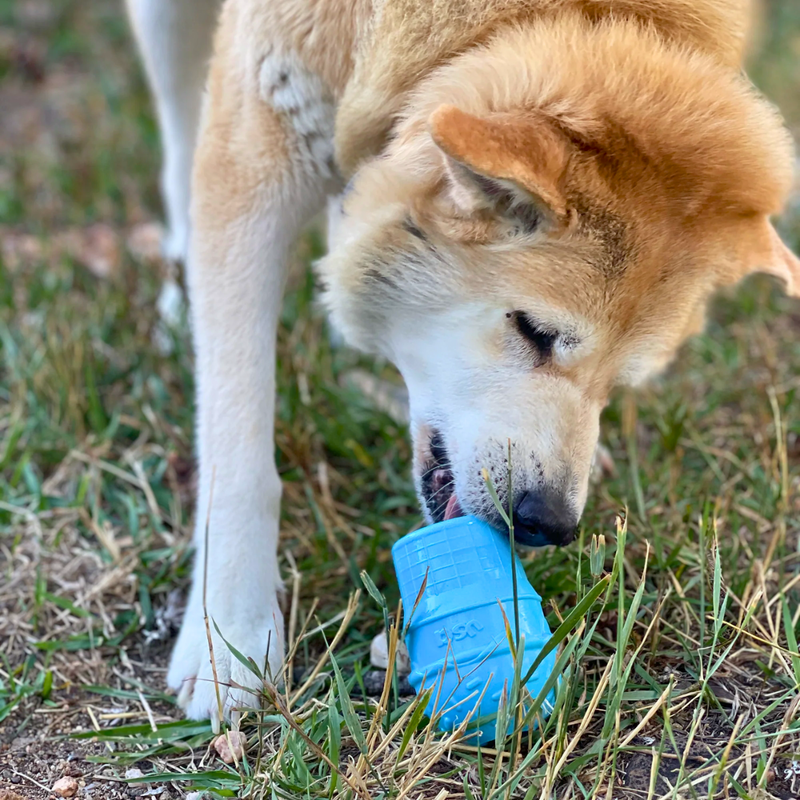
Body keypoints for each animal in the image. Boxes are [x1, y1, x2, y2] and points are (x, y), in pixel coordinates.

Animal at [125, 0, 800, 724]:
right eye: (534, 330)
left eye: (619, 384)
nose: (549, 524)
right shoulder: (258, 136)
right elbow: (240, 451)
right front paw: (232, 640)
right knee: (179, 153)